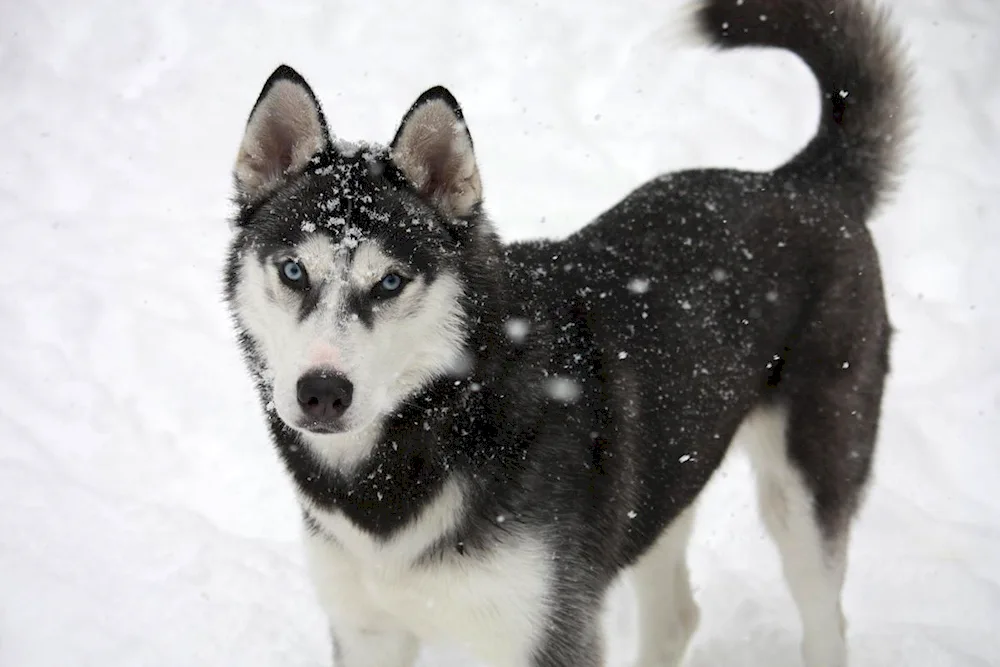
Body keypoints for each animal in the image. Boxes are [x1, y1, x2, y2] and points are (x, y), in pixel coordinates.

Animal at [225, 1, 908, 667]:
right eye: (293, 270)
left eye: (390, 282)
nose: (321, 391)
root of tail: (798, 181)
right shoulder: (366, 630)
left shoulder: (548, 634)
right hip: (666, 477)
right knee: (676, 617)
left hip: (805, 492)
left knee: (825, 624)